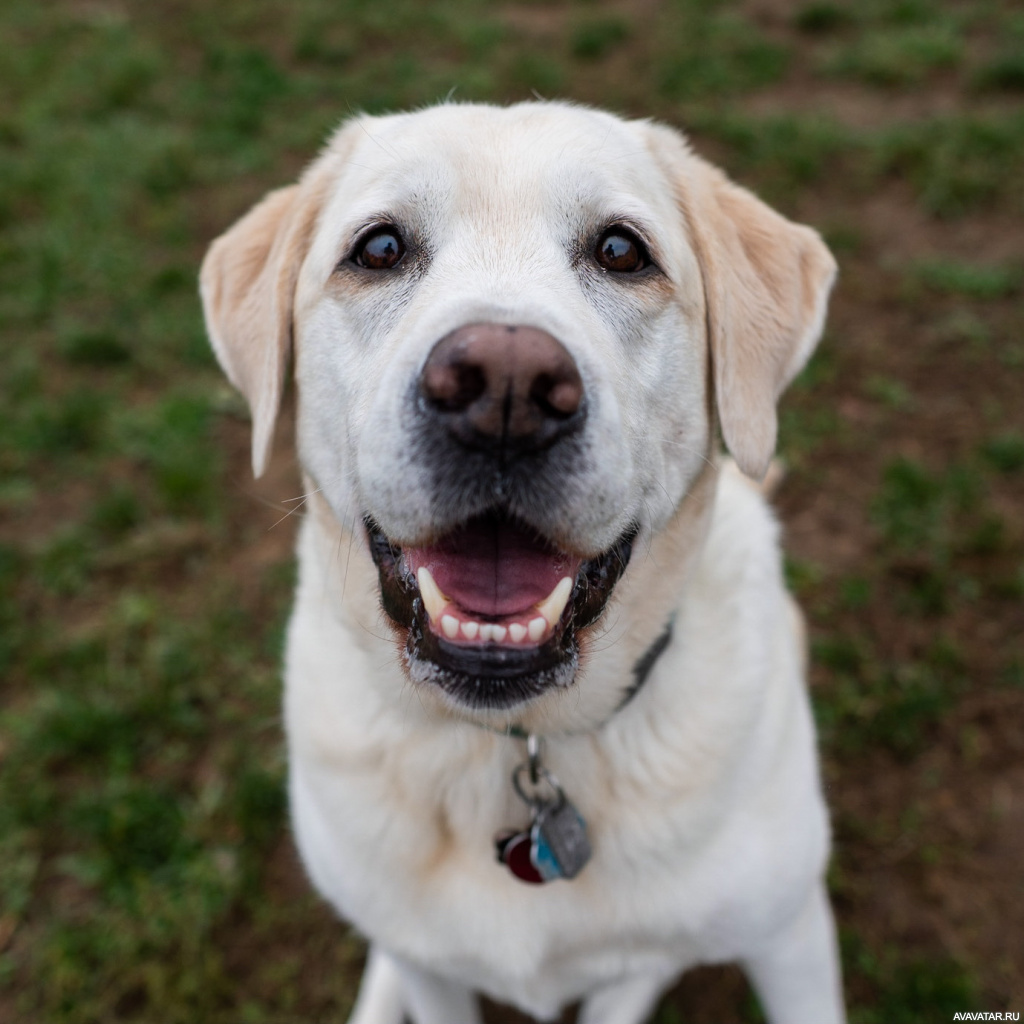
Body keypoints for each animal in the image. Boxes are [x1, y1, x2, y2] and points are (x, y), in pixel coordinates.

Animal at [197, 101, 839, 1024]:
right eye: (379, 248)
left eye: (621, 251)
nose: (504, 388)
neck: (520, 749)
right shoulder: (430, 967)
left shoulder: (791, 932)